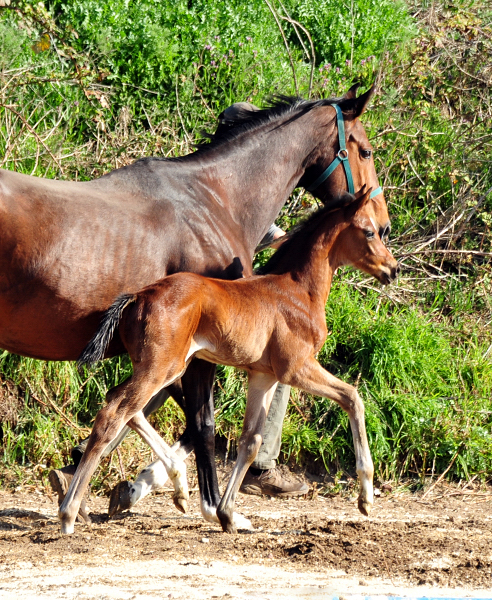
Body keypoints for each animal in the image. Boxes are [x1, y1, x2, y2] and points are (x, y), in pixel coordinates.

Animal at [62, 185, 400, 532]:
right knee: (114, 413)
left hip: (163, 367)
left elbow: (250, 440)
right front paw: (366, 498)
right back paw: (68, 513)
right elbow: (352, 397)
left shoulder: (264, 376)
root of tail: (137, 296)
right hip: (162, 367)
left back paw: (177, 488)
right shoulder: (296, 368)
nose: (393, 269)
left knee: (123, 405)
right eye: (369, 231)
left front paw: (226, 513)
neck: (298, 291)